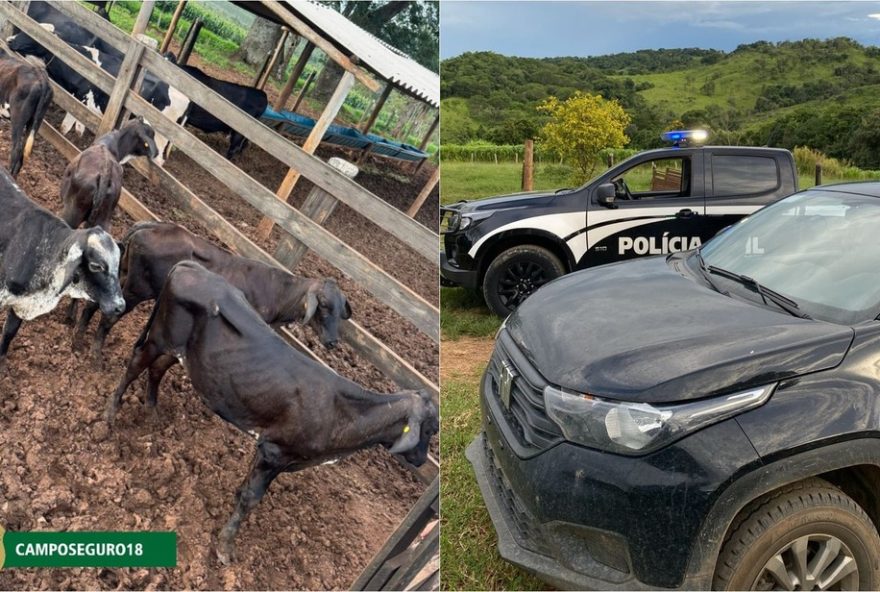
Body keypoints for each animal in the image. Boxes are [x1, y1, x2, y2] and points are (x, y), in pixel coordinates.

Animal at [75, 219, 350, 354]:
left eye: (340, 311)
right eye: (324, 306)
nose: (332, 342)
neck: (278, 293)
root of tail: (151, 225)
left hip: (120, 280)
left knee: (95, 306)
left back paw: (77, 341)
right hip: (136, 289)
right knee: (108, 319)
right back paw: (96, 356)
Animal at [106, 262, 436, 560]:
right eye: (431, 429)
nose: (421, 460)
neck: (340, 414)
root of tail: (190, 267)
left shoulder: (270, 449)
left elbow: (245, 490)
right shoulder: (275, 452)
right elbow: (252, 498)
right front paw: (226, 546)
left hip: (183, 353)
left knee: (157, 370)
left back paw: (152, 413)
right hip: (159, 337)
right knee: (136, 363)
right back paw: (109, 418)